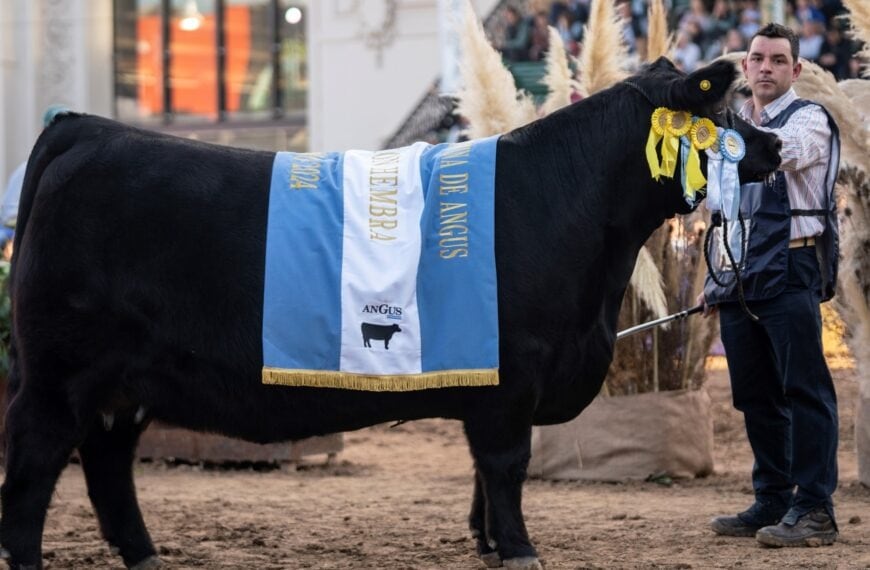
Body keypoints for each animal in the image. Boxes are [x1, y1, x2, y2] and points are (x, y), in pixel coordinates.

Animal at [0, 58, 784, 568]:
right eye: (722, 113)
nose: (775, 144)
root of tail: (85, 129)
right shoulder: (513, 376)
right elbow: (505, 466)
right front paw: (521, 550)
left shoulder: (488, 378)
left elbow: (482, 473)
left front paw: (489, 545)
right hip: (59, 376)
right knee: (35, 462)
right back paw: (31, 557)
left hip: (122, 386)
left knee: (107, 465)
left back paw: (145, 557)